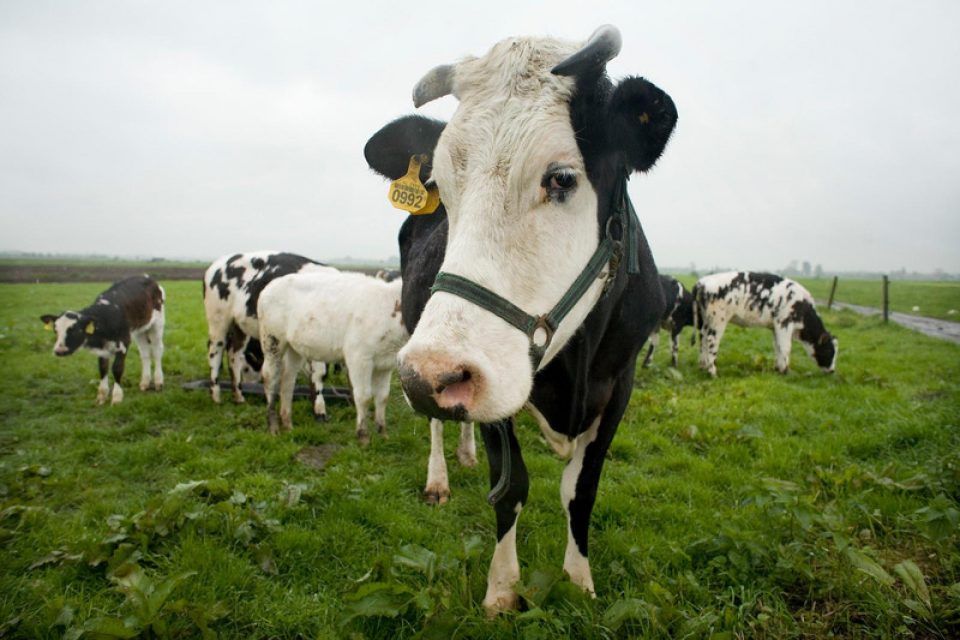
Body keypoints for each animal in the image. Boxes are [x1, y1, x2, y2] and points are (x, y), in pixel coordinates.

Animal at [40, 276, 165, 404]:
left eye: (75, 330)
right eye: (55, 330)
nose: (59, 351)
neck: (107, 316)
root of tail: (147, 277)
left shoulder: (124, 342)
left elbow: (117, 368)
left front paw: (116, 397)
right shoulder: (103, 348)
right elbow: (103, 368)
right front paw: (102, 396)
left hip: (157, 324)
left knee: (157, 351)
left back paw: (158, 381)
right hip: (140, 329)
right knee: (145, 353)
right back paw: (144, 382)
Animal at [202, 248, 334, 418]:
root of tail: (215, 265)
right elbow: (315, 372)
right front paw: (319, 410)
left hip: (239, 327)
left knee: (234, 354)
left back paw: (239, 397)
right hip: (218, 319)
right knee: (215, 352)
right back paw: (216, 396)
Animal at [255, 268, 408, 442]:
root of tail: (269, 286)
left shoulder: (385, 363)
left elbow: (382, 397)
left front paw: (383, 434)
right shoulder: (359, 357)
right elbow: (363, 396)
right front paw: (363, 436)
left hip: (293, 348)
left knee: (287, 380)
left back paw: (288, 424)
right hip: (272, 341)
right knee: (270, 377)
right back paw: (273, 427)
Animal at [364, 26, 680, 616]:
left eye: (561, 178)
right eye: (442, 184)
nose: (430, 374)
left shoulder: (620, 382)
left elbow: (581, 490)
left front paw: (579, 580)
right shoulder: (492, 378)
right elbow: (510, 488)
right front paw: (502, 589)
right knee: (438, 425)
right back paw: (440, 478)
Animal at [688, 268, 840, 376]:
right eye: (829, 350)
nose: (832, 370)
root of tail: (703, 281)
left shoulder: (776, 327)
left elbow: (777, 346)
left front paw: (778, 368)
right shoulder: (784, 323)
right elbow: (786, 347)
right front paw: (786, 371)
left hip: (706, 320)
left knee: (702, 337)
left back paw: (702, 365)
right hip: (718, 320)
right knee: (711, 340)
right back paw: (712, 371)